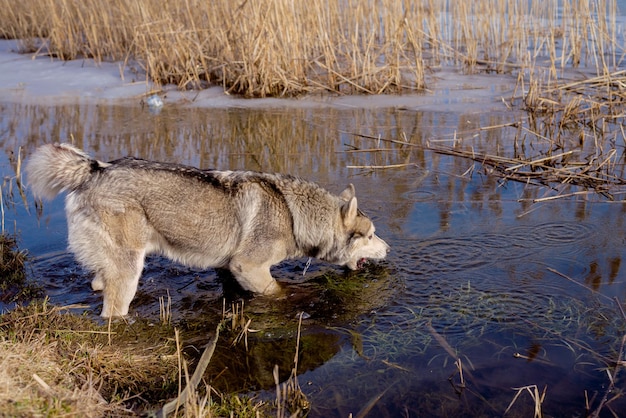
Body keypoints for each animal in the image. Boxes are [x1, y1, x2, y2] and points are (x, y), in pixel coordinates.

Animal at [26, 144, 388, 316]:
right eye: (371, 235)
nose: (388, 249)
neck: (293, 214)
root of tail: (94, 169)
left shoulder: (228, 270)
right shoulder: (249, 267)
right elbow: (279, 292)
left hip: (110, 270)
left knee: (96, 284)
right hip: (127, 273)